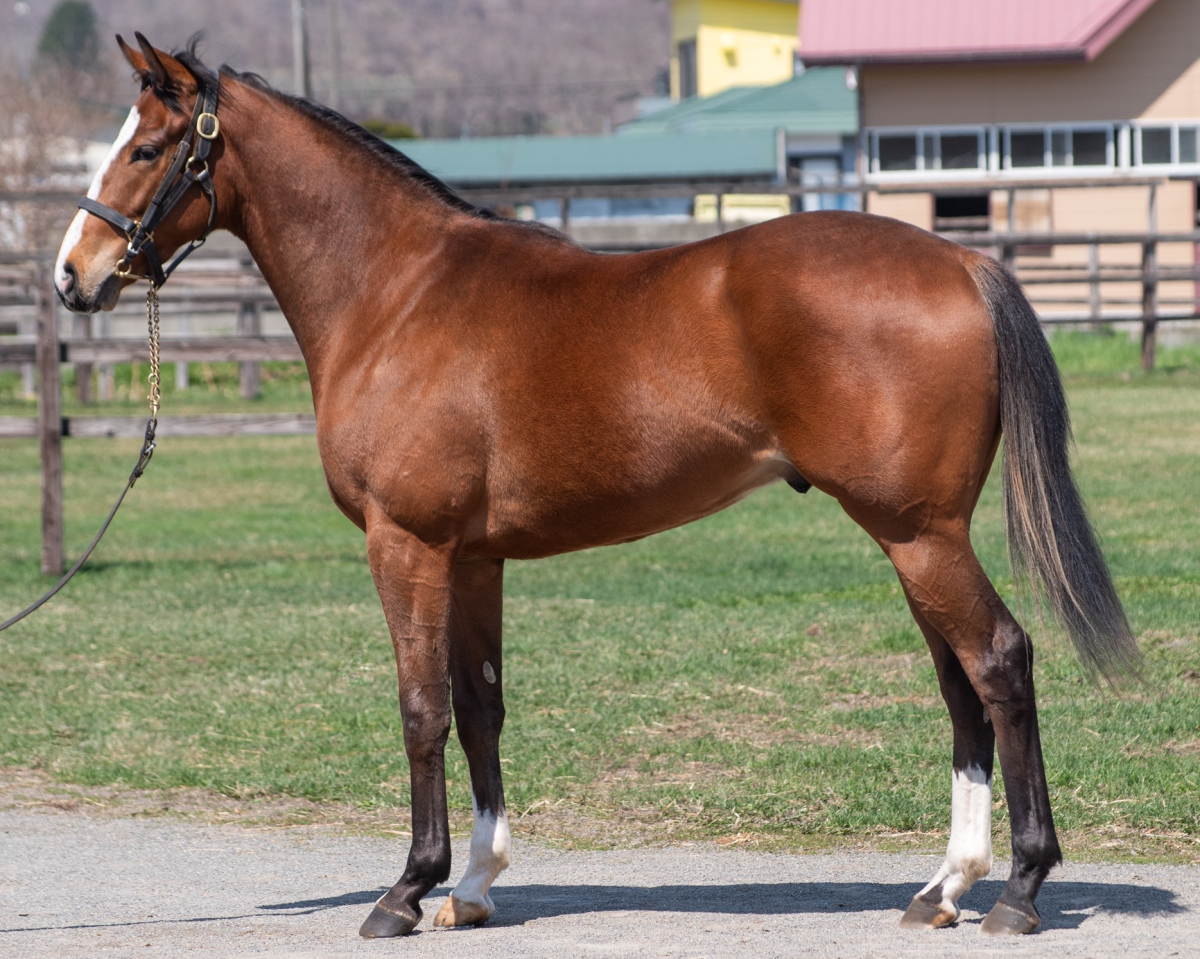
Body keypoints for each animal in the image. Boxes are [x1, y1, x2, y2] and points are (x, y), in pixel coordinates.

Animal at [55, 35, 1140, 939]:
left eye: (146, 149)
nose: (73, 275)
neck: (398, 293)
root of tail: (960, 261)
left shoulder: (406, 542)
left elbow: (420, 707)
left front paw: (406, 888)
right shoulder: (474, 556)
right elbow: (479, 704)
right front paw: (473, 885)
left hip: (920, 533)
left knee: (999, 662)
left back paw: (1019, 889)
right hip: (915, 539)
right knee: (961, 686)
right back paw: (944, 885)